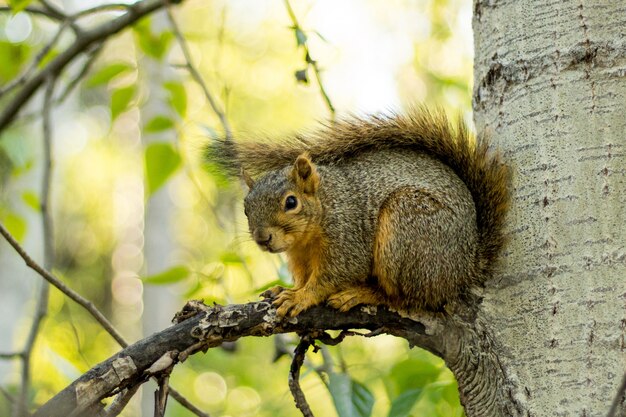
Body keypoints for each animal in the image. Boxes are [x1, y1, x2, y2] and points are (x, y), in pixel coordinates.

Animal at [205, 109, 508, 316]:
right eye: (246, 208)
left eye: (291, 202)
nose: (262, 238)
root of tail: (466, 268)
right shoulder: (300, 258)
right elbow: (303, 278)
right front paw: (289, 289)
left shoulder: (347, 240)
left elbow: (332, 277)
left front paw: (300, 297)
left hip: (407, 231)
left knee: (405, 298)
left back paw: (361, 294)